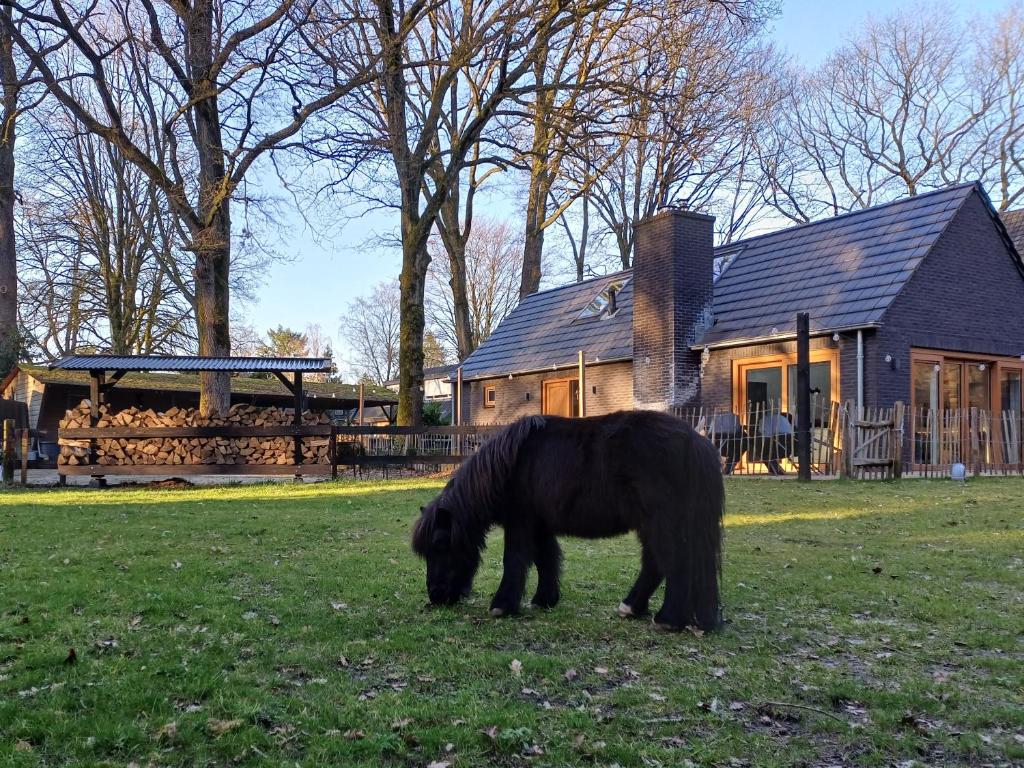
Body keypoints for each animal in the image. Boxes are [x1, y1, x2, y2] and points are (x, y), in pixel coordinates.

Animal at [411, 410, 724, 631]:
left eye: (441, 545)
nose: (436, 596)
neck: (507, 467)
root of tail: (697, 441)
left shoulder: (520, 523)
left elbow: (514, 560)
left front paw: (503, 605)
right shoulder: (539, 525)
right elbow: (546, 559)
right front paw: (544, 599)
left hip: (662, 523)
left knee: (674, 563)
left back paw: (668, 619)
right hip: (652, 525)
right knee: (655, 564)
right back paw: (631, 607)